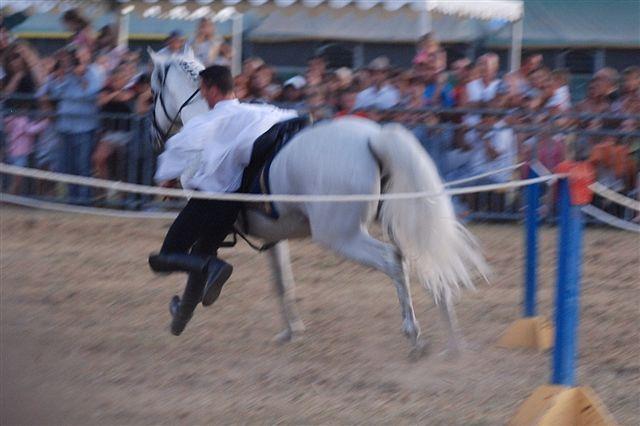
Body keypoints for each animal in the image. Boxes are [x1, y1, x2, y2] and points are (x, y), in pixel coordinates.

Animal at [148, 50, 488, 356]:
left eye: (153, 91)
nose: (154, 136)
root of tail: (373, 139)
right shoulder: (273, 236)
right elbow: (281, 282)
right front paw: (291, 330)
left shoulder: (209, 224)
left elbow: (197, 265)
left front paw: (181, 315)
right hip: (400, 222)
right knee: (428, 265)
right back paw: (453, 341)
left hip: (341, 236)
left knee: (393, 261)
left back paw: (415, 336)